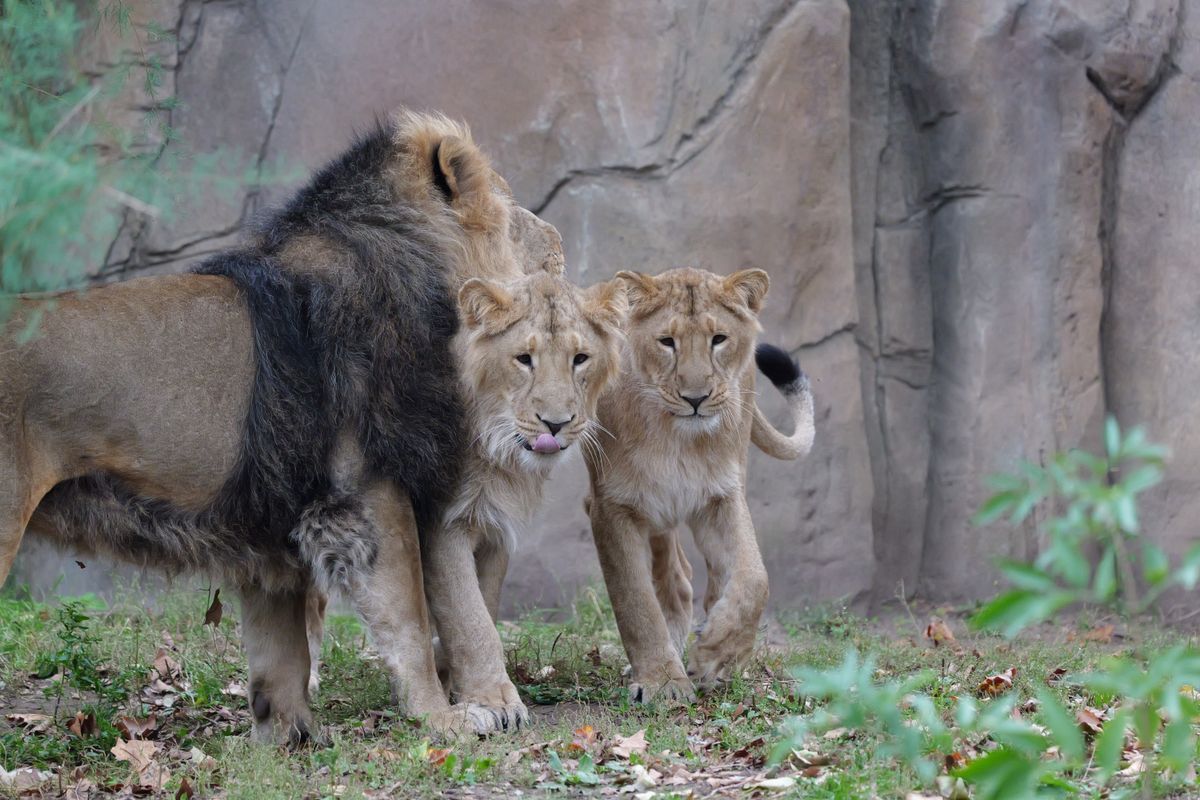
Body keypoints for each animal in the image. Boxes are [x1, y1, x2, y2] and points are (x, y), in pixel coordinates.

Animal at [0, 110, 565, 742]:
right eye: (513, 206)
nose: (556, 236)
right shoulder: (365, 492)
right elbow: (409, 619)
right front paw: (444, 720)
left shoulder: (272, 519)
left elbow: (279, 650)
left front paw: (288, 738)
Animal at [583, 267, 815, 703]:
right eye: (666, 342)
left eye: (718, 339)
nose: (696, 398)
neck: (678, 439)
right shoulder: (610, 507)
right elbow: (635, 600)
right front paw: (662, 683)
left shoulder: (723, 495)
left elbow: (755, 579)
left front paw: (715, 653)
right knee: (674, 580)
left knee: (709, 578)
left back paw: (720, 660)